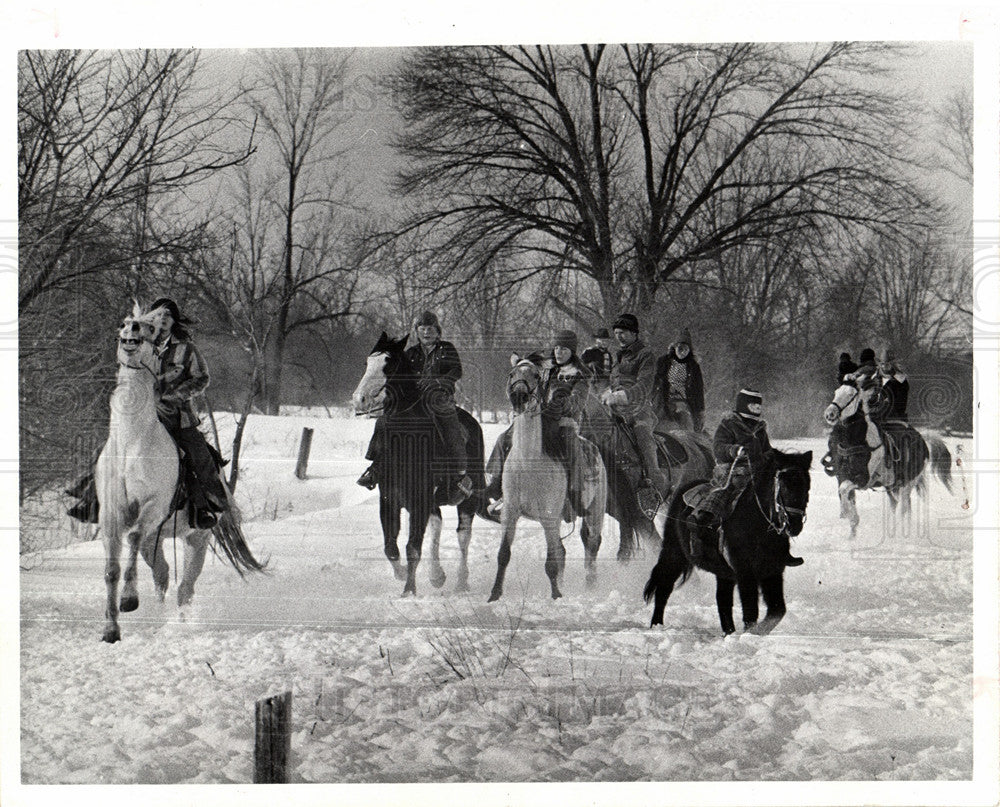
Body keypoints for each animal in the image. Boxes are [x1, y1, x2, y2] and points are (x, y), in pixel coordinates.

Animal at [94, 304, 262, 644]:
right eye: (124, 323)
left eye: (147, 327)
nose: (131, 330)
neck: (132, 442)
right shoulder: (111, 514)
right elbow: (111, 570)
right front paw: (111, 629)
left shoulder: (154, 506)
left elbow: (132, 537)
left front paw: (128, 600)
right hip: (157, 539)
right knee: (162, 573)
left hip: (197, 538)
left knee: (185, 587)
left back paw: (180, 623)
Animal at [352, 332, 488, 596]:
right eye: (366, 363)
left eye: (389, 364)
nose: (359, 400)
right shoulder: (390, 499)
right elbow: (390, 547)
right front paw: (403, 574)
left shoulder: (419, 500)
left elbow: (412, 547)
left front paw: (409, 591)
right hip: (431, 502)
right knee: (436, 526)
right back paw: (437, 576)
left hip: (466, 499)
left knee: (463, 536)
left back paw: (461, 582)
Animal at [486, 358, 604, 600]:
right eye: (511, 374)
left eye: (536, 376)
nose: (519, 396)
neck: (528, 463)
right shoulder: (510, 514)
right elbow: (503, 555)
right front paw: (494, 594)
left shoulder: (550, 517)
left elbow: (551, 562)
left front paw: (556, 596)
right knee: (564, 551)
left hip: (595, 512)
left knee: (592, 545)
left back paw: (590, 583)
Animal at [640, 452, 812, 636]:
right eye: (783, 486)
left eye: (806, 486)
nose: (794, 525)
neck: (756, 524)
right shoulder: (745, 572)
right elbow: (751, 611)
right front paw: (750, 633)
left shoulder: (772, 572)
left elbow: (777, 611)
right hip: (674, 554)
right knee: (663, 587)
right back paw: (656, 625)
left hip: (723, 572)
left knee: (722, 599)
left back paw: (728, 631)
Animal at [824, 380, 956, 544]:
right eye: (836, 392)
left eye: (850, 395)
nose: (830, 414)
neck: (859, 442)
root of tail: (923, 441)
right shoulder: (842, 476)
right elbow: (845, 494)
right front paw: (851, 529)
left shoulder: (862, 479)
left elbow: (844, 490)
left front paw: (845, 513)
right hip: (891, 486)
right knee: (896, 505)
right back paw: (892, 530)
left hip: (908, 483)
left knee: (905, 508)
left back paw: (901, 534)